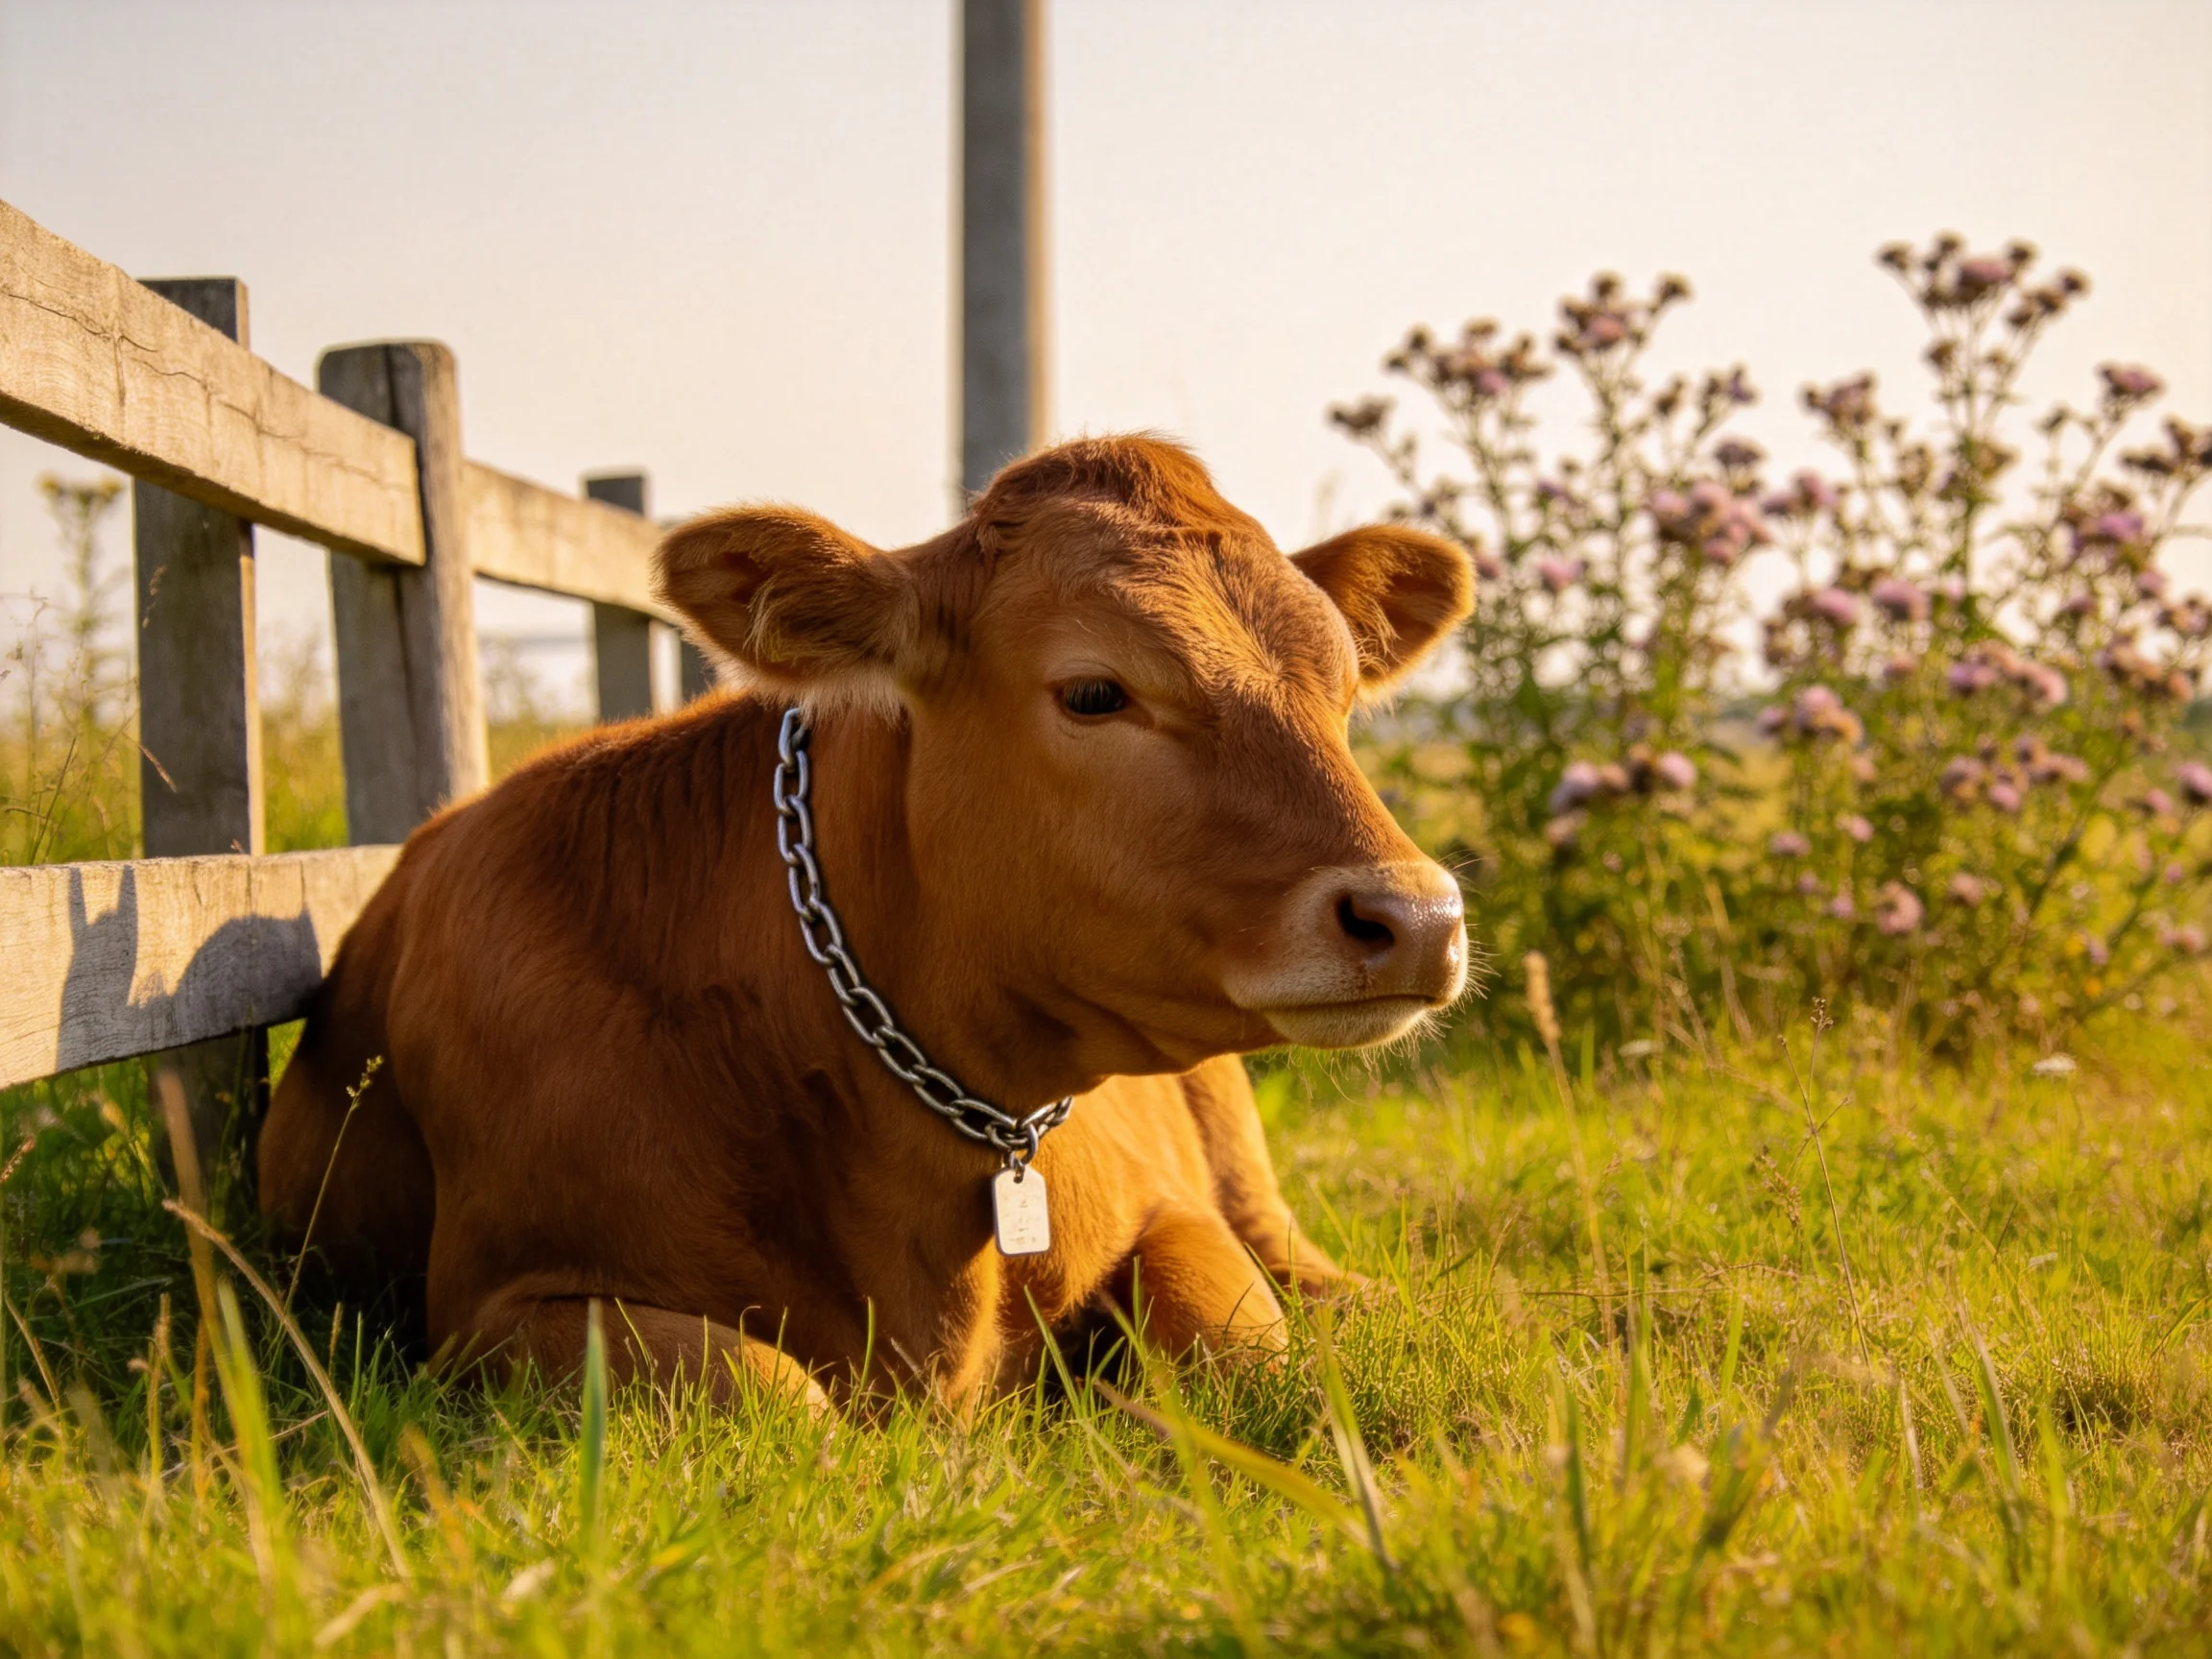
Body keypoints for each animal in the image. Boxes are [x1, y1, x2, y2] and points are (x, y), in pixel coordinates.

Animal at [258, 435, 1472, 1412]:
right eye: (1094, 691)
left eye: (1343, 694)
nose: (1416, 914)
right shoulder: (484, 1315)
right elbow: (777, 1395)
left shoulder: (1174, 1216)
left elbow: (1240, 1345)